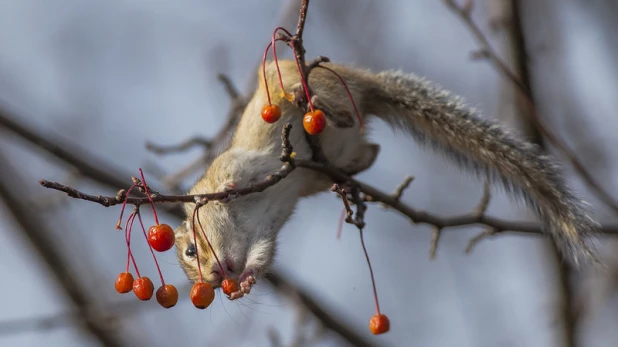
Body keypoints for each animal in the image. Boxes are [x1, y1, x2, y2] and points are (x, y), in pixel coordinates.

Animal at [172, 59, 596, 300]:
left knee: (327, 103)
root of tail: (366, 84)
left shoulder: (235, 166)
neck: (241, 227)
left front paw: (226, 193)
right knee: (370, 150)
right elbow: (262, 257)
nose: (216, 278)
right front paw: (246, 283)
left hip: (308, 82)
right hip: (342, 155)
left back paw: (314, 103)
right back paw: (347, 177)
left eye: (192, 250)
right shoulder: (264, 235)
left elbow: (226, 181)